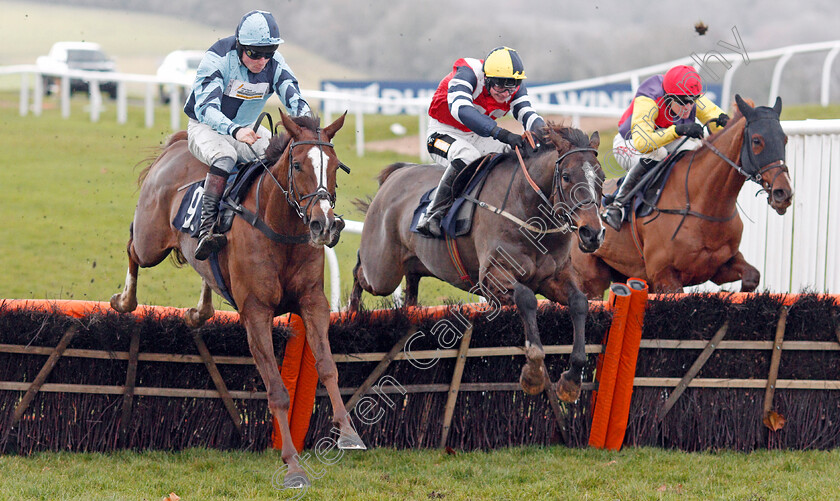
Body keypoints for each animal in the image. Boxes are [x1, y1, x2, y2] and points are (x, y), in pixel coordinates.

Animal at [110, 111, 362, 486]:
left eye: (335, 165)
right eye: (298, 165)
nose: (324, 224)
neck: (280, 230)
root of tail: (176, 146)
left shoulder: (313, 302)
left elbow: (328, 367)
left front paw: (348, 433)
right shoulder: (256, 313)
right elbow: (276, 390)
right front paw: (293, 465)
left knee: (201, 269)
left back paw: (199, 311)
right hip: (150, 241)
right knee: (132, 248)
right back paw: (124, 301)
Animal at [348, 125, 604, 402]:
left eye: (601, 177)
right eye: (566, 176)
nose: (592, 233)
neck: (528, 209)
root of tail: (396, 174)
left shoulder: (554, 277)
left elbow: (579, 302)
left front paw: (571, 380)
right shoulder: (493, 277)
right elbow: (526, 298)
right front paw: (534, 373)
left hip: (413, 264)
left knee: (410, 287)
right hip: (382, 273)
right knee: (360, 272)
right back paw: (352, 314)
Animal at [572, 94, 796, 296]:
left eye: (784, 139)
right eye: (757, 141)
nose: (783, 193)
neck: (704, 205)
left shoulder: (719, 266)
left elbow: (752, 276)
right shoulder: (665, 276)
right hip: (591, 279)